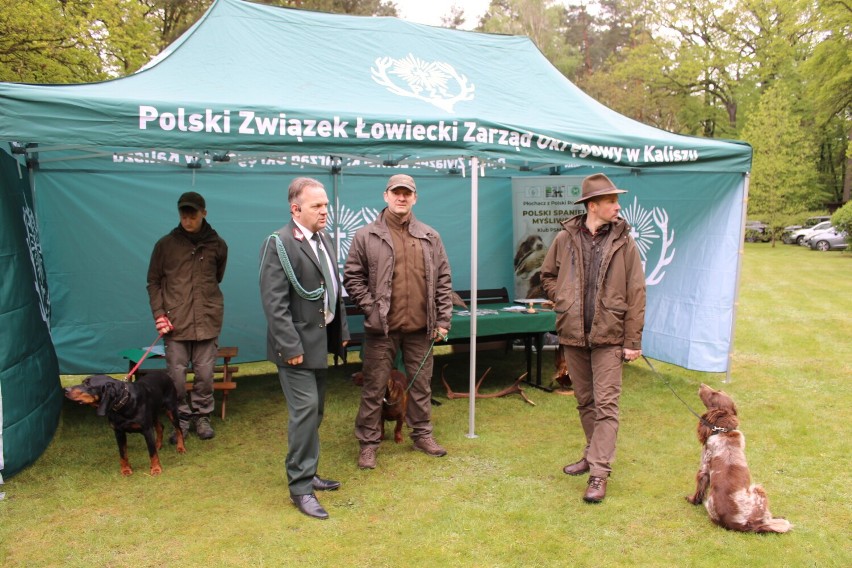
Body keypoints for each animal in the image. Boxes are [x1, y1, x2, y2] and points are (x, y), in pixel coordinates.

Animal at [684, 384, 792, 536]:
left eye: (714, 393)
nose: (701, 385)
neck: (724, 431)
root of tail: (745, 524)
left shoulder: (704, 467)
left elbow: (699, 488)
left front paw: (692, 500)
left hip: (758, 489)